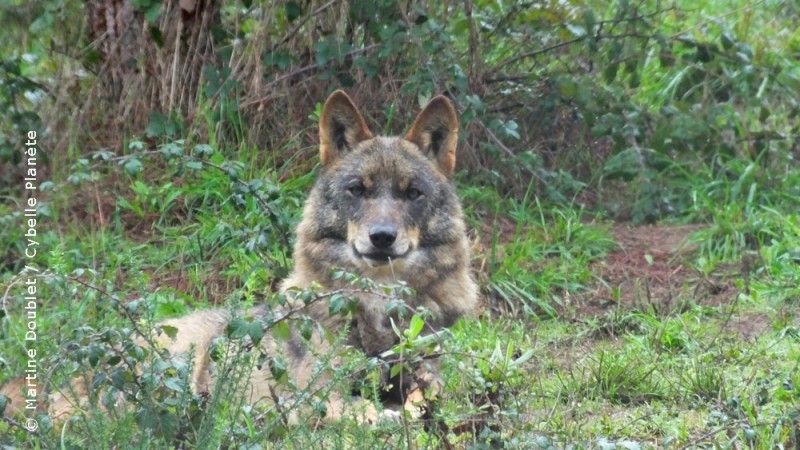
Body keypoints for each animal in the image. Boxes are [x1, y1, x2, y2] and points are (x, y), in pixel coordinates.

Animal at [0, 90, 478, 426]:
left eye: (412, 194)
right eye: (357, 190)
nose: (381, 238)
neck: (374, 312)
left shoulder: (430, 378)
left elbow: (434, 397)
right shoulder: (313, 395)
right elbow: (360, 413)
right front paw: (385, 419)